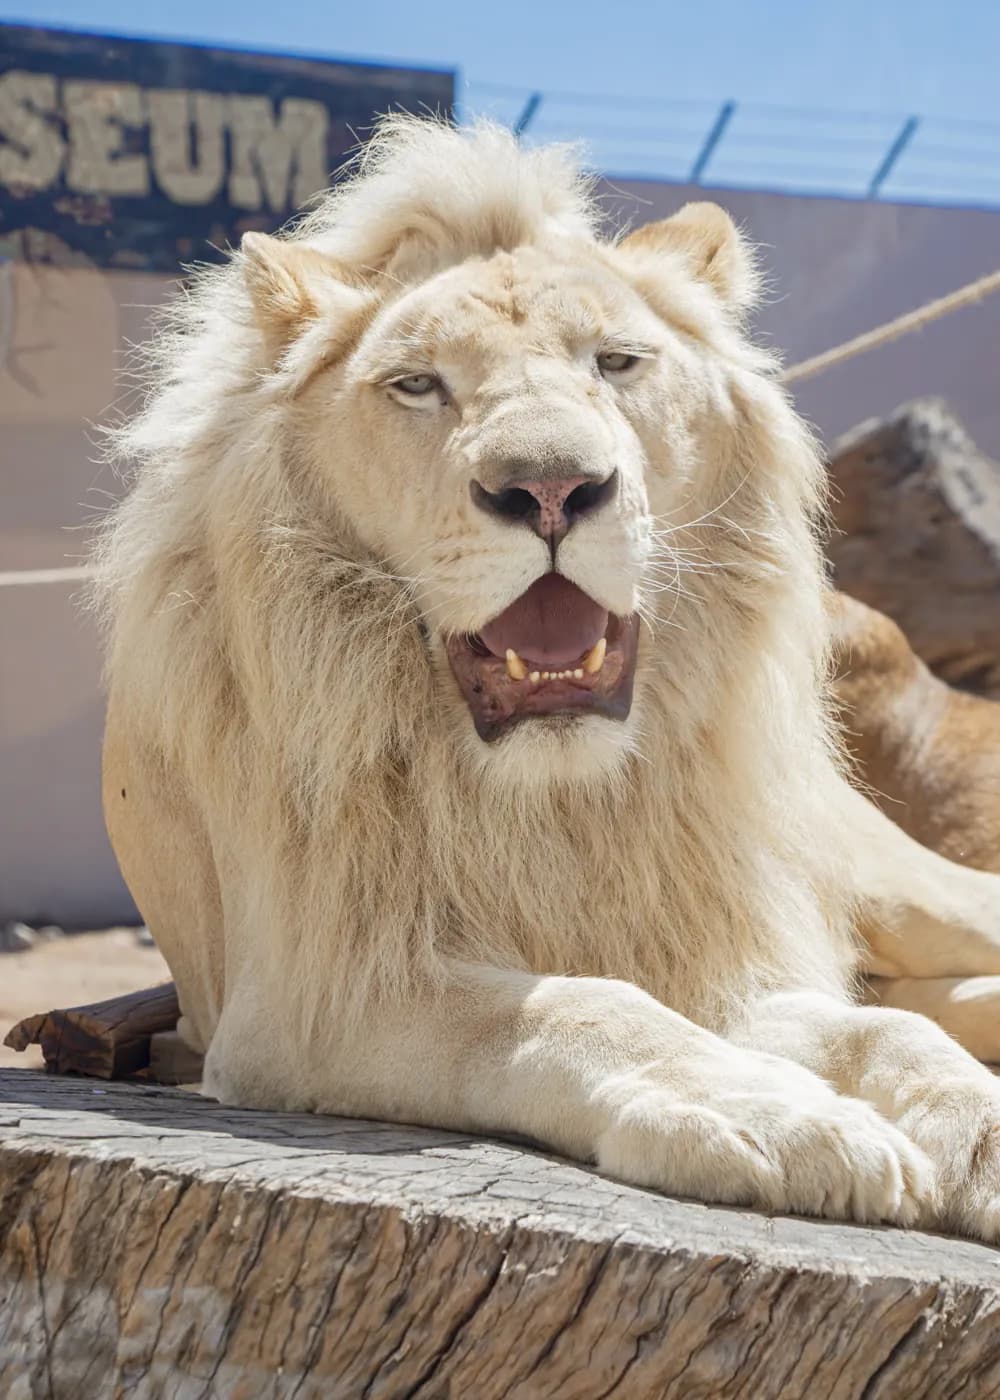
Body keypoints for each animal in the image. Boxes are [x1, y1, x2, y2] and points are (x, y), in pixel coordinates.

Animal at [97, 117, 1000, 1239]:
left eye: (616, 362)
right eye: (417, 384)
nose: (551, 488)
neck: (552, 795)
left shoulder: (713, 946)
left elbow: (880, 1033)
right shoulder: (308, 996)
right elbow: (583, 1004)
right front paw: (777, 1115)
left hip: (886, 876)